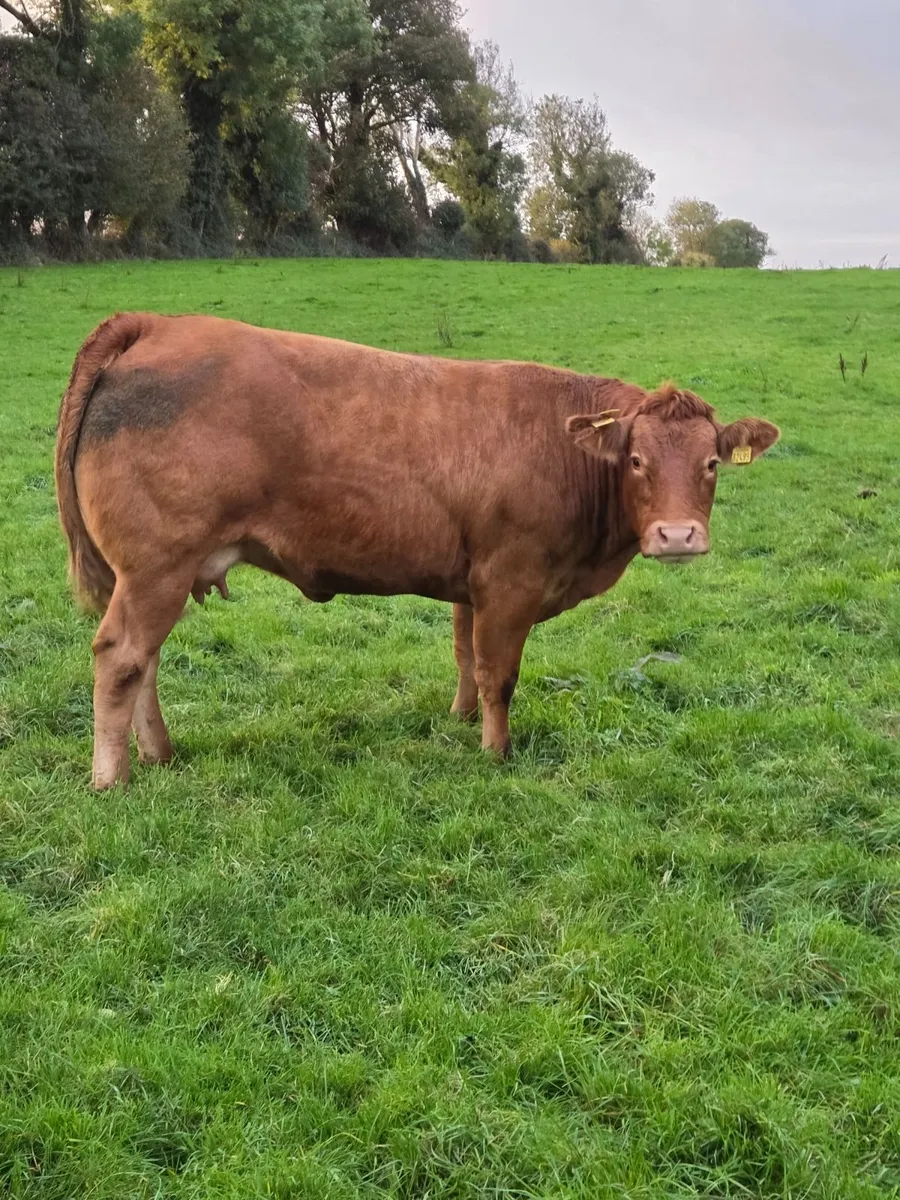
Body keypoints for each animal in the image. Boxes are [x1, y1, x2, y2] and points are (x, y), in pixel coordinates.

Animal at [55, 312, 780, 789]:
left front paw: (461, 720)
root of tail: (158, 322)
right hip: (156, 566)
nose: (678, 536)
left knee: (145, 662)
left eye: (712, 462)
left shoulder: (472, 581)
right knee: (121, 658)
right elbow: (499, 673)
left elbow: (464, 655)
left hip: (158, 574)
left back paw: (161, 753)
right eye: (635, 460)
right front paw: (495, 752)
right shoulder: (511, 580)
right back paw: (113, 777)